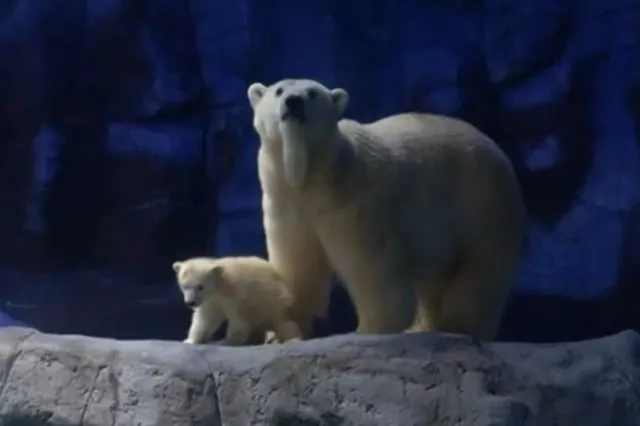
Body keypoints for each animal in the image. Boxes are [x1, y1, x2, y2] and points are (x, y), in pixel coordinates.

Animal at [172, 256, 303, 345]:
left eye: (200, 286)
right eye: (184, 286)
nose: (190, 302)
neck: (221, 284)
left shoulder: (236, 294)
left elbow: (239, 320)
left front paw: (226, 341)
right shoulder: (211, 300)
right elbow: (205, 319)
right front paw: (189, 340)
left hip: (273, 304)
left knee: (283, 323)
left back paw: (292, 338)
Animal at [247, 78, 526, 341]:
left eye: (312, 93)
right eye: (279, 90)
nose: (293, 102)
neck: (316, 176)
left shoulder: (354, 201)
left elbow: (369, 264)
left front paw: (369, 328)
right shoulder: (287, 202)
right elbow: (297, 263)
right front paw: (280, 330)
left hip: (481, 203)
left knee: (479, 271)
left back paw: (457, 325)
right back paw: (424, 327)